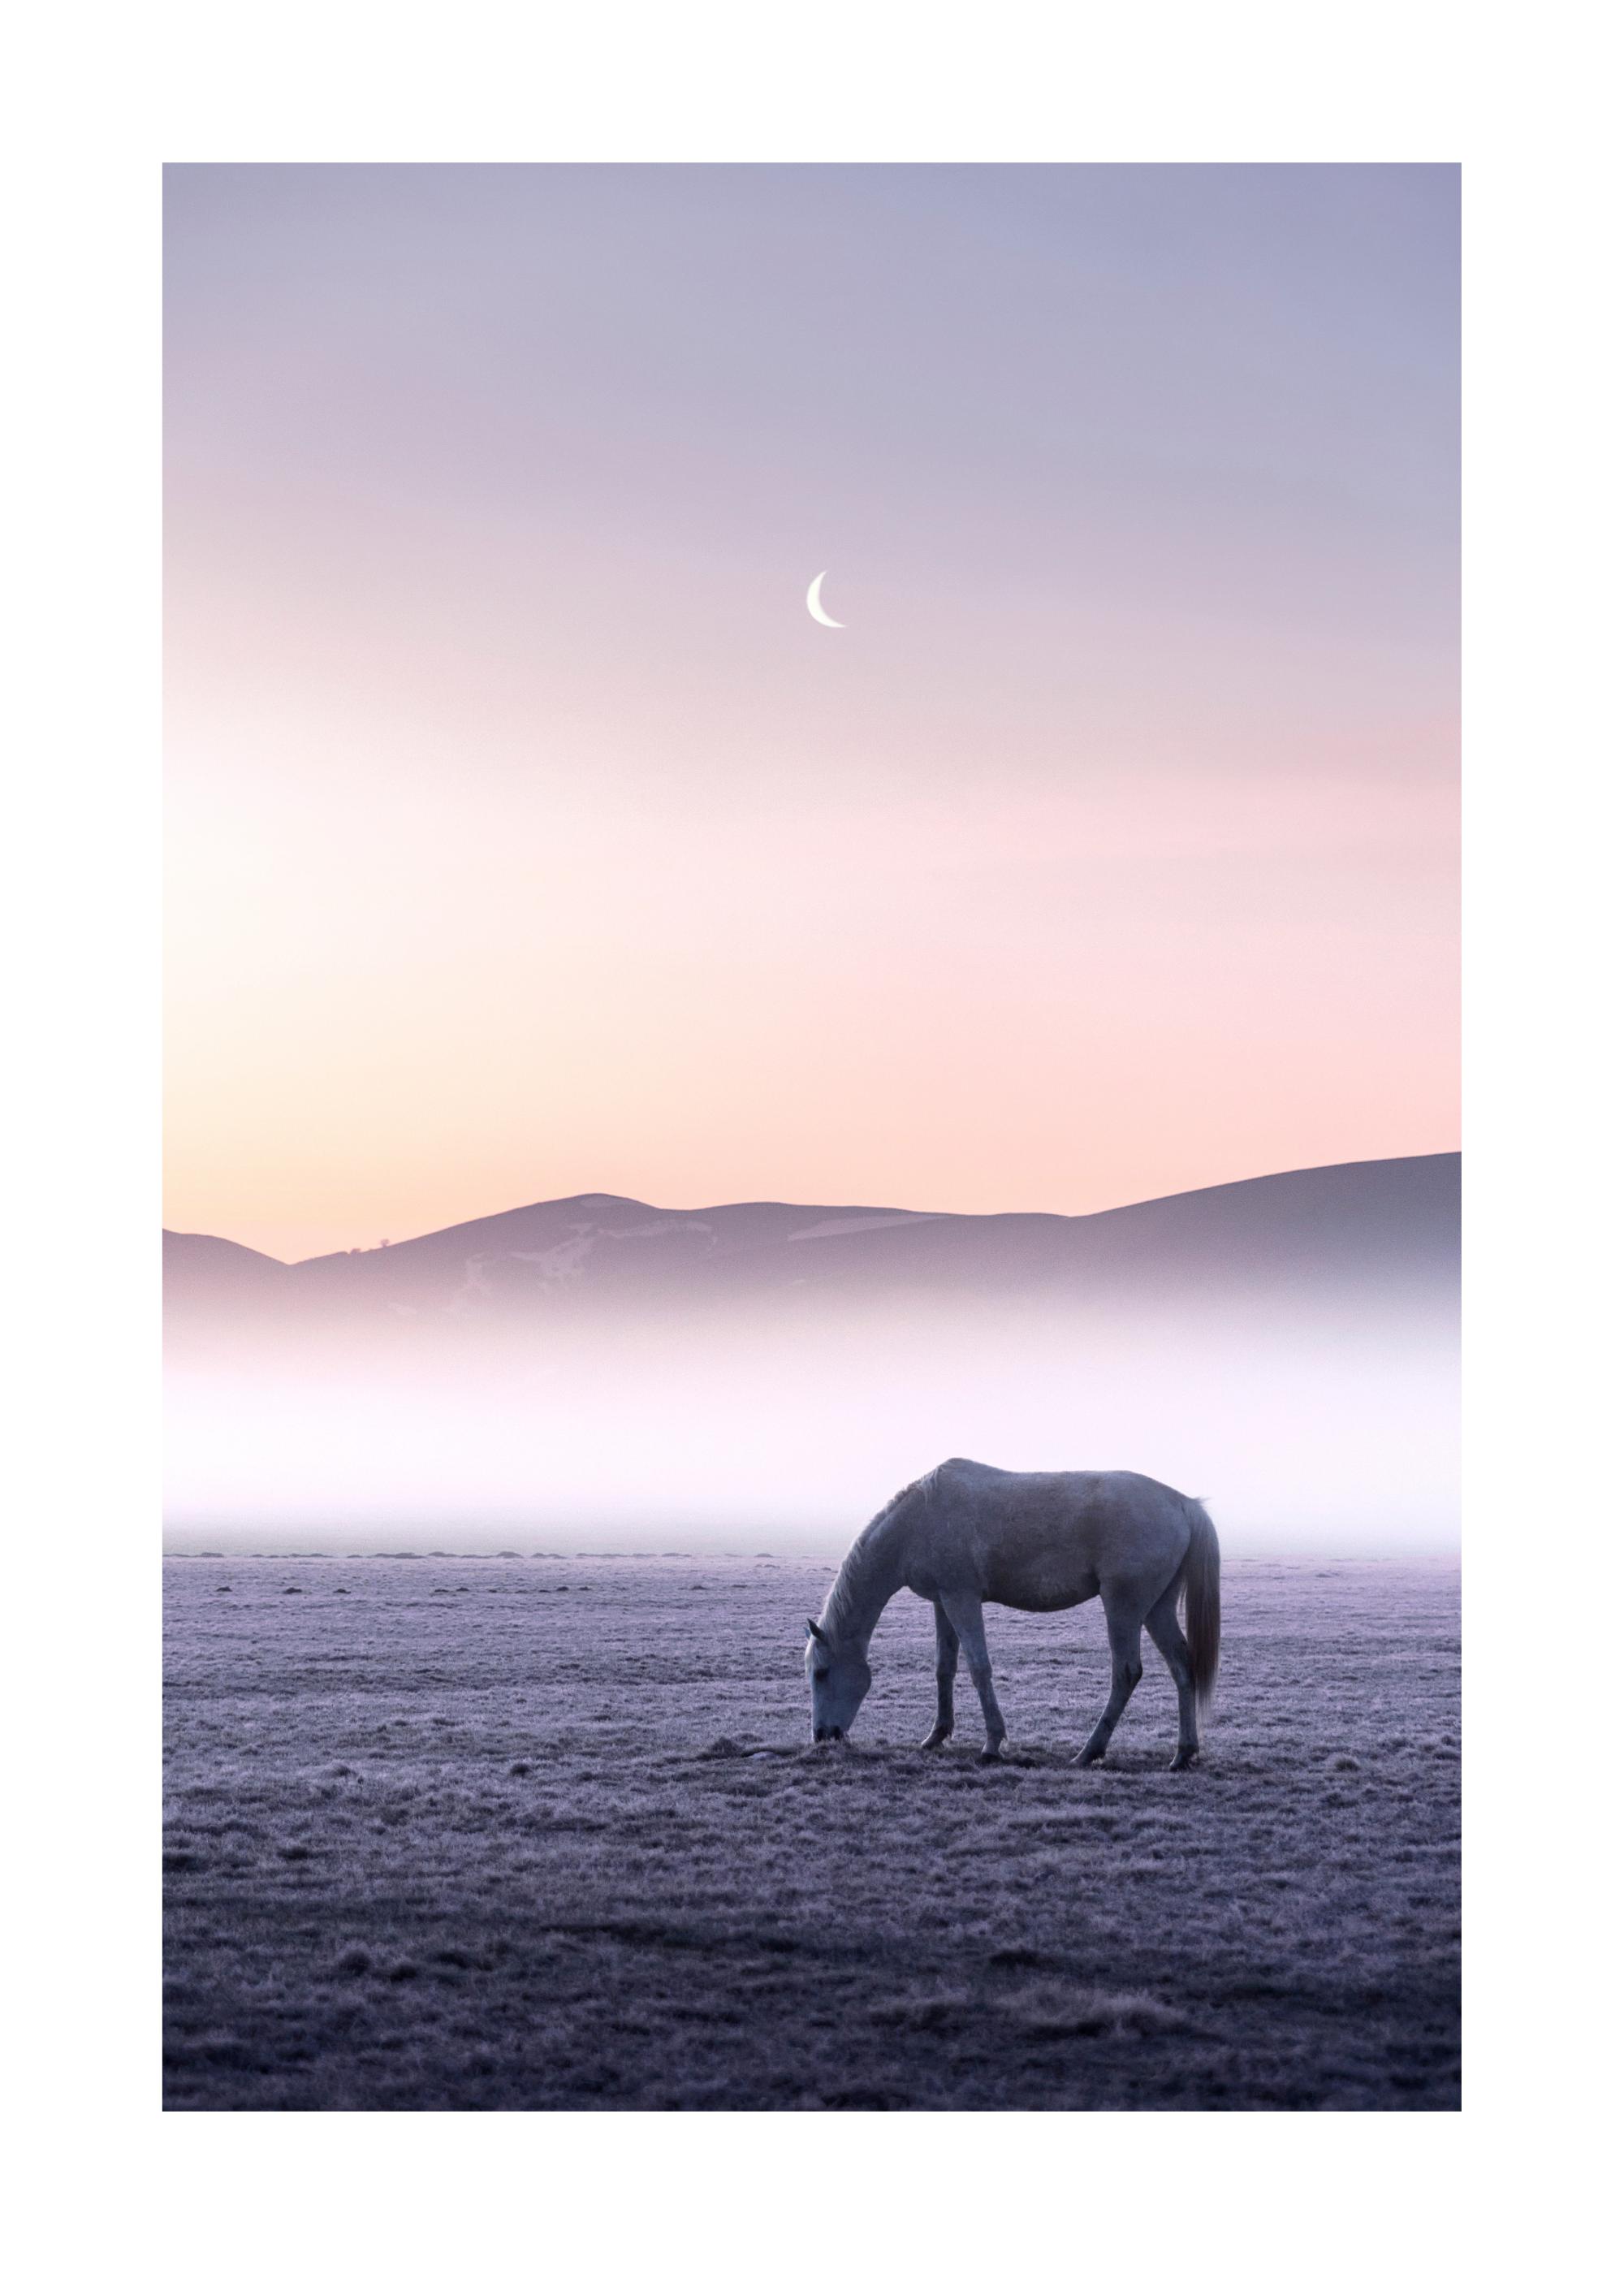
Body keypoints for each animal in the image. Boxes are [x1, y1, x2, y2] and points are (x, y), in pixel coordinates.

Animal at [803, 1458, 1220, 1769]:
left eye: (821, 1673)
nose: (822, 1736)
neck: (918, 1521)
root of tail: (1182, 1503)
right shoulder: (943, 1602)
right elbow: (944, 1668)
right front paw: (937, 1735)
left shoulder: (962, 1598)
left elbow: (979, 1668)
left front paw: (992, 1745)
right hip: (1156, 1609)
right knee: (1182, 1667)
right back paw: (1183, 1754)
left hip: (1123, 1606)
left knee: (1126, 1673)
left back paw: (1089, 1752)